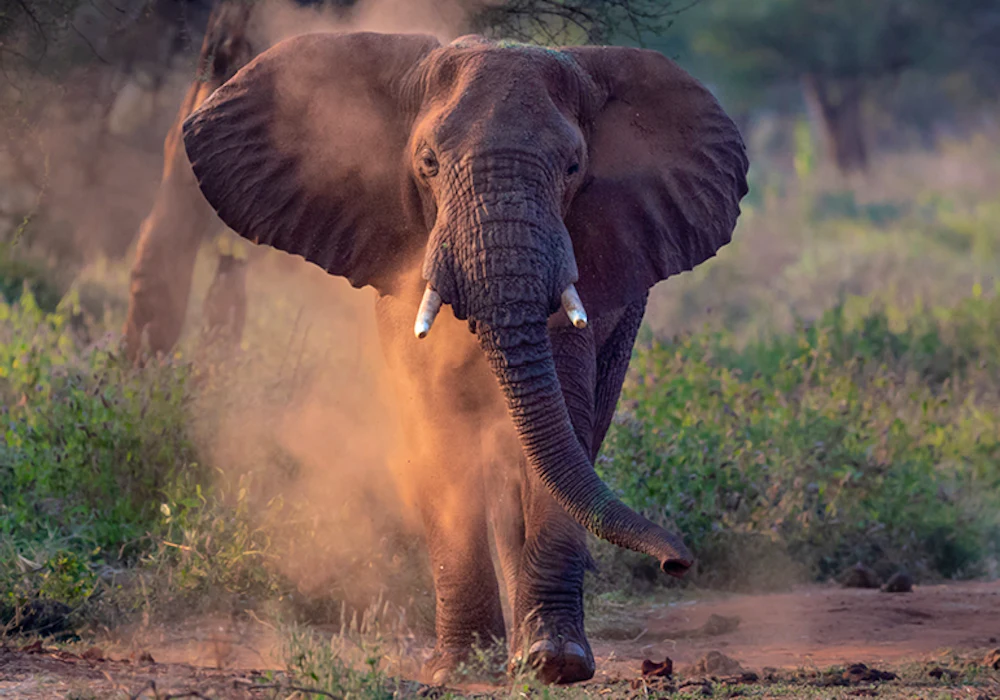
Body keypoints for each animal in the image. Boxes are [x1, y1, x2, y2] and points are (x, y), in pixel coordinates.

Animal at [180, 31, 749, 684]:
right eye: (427, 162)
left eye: (574, 167)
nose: (678, 563)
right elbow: (436, 432)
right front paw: (458, 668)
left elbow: (563, 423)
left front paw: (554, 663)